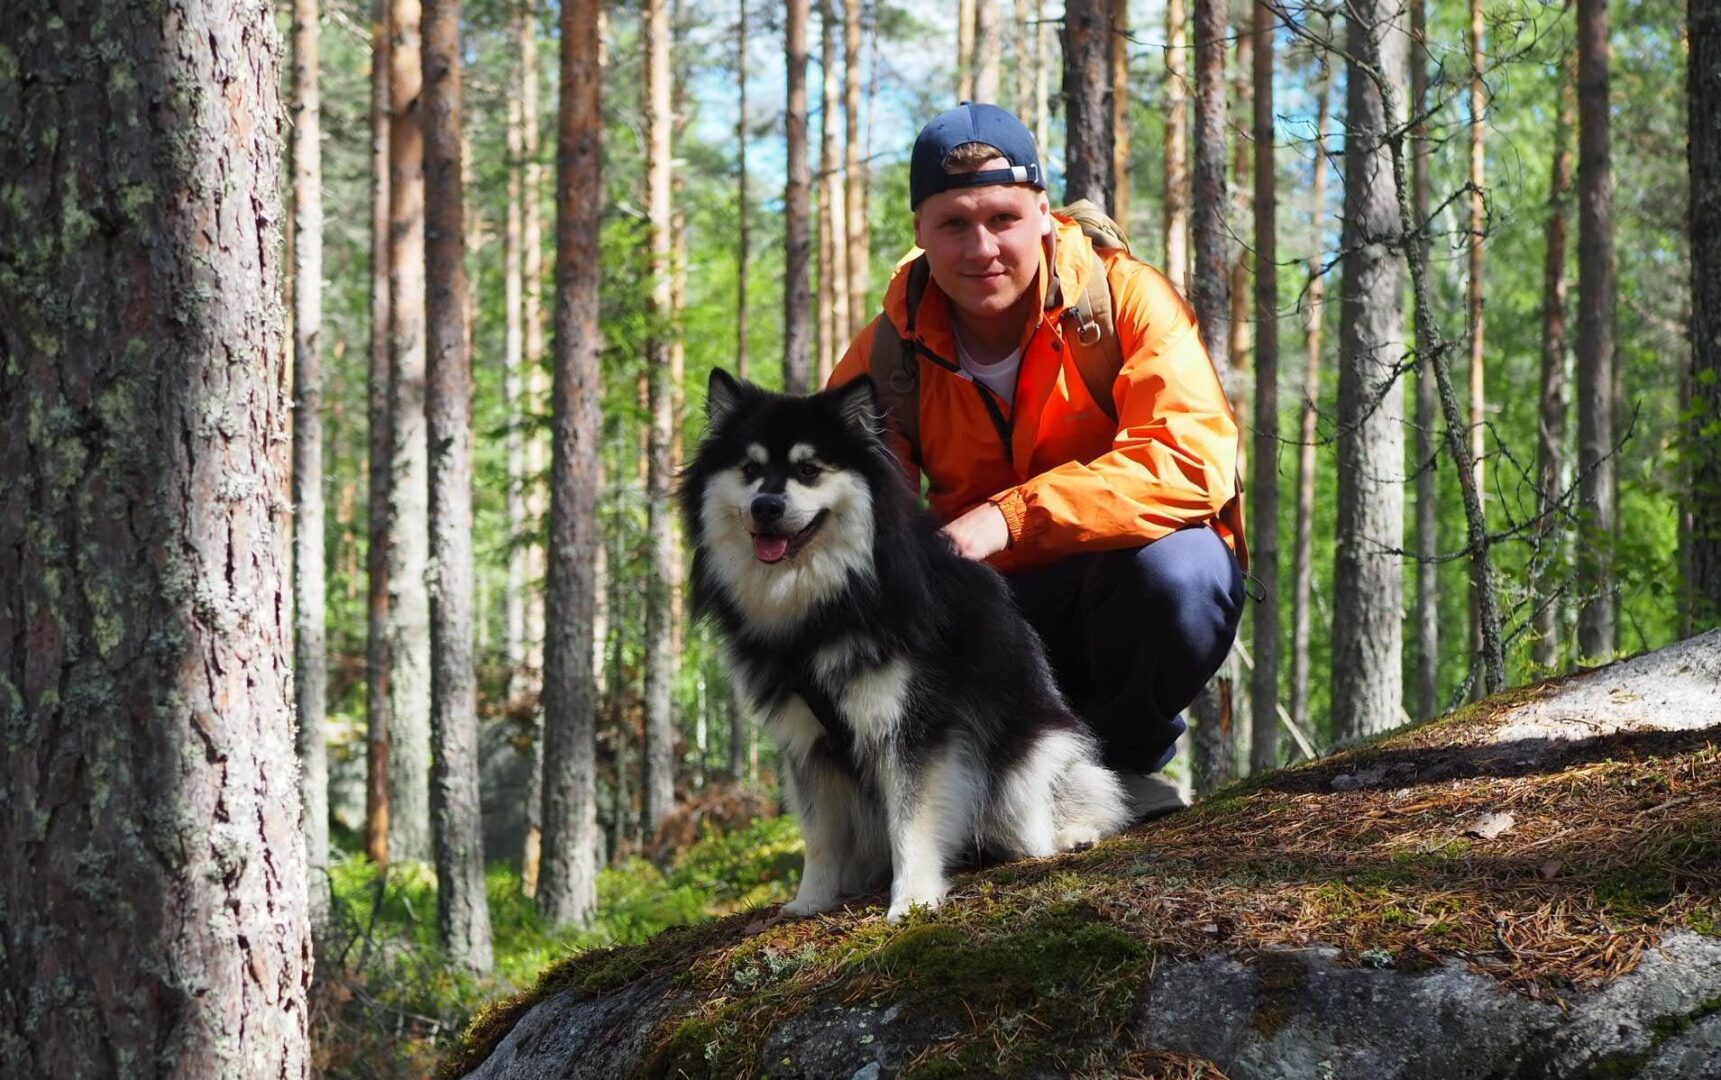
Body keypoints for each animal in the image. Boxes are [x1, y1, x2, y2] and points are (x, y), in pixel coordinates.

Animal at [678, 369, 1135, 921]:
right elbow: (820, 834)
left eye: (809, 469)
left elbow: (912, 821)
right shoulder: (808, 740)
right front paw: (811, 901)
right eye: (749, 469)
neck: (827, 608)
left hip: (1035, 756)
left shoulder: (912, 726)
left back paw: (1072, 834)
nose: (766, 507)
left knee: (1047, 817)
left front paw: (913, 899)